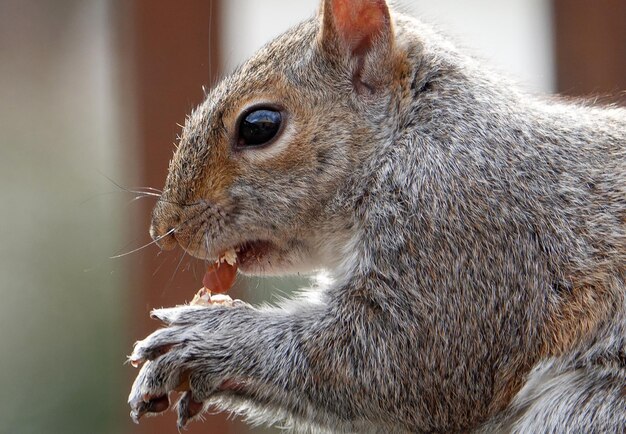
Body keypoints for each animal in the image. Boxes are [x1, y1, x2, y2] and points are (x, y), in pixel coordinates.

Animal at [128, 0, 624, 430]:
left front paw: (203, 338)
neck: (409, 137)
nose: (165, 231)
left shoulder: (464, 226)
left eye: (259, 126)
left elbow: (391, 362)